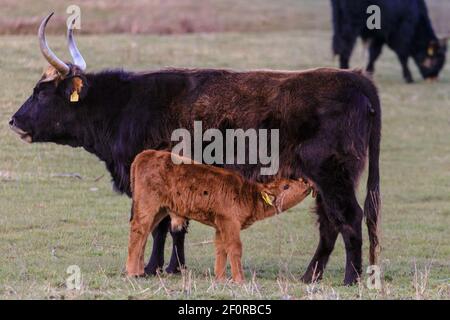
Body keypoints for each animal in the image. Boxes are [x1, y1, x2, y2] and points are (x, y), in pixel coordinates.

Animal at [125, 150, 312, 282]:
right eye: (286, 186)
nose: (306, 183)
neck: (246, 194)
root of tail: (146, 154)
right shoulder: (230, 223)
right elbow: (235, 248)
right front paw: (239, 279)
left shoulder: (220, 225)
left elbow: (221, 249)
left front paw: (220, 277)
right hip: (147, 206)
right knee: (138, 232)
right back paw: (132, 272)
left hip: (159, 210)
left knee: (144, 235)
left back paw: (140, 271)